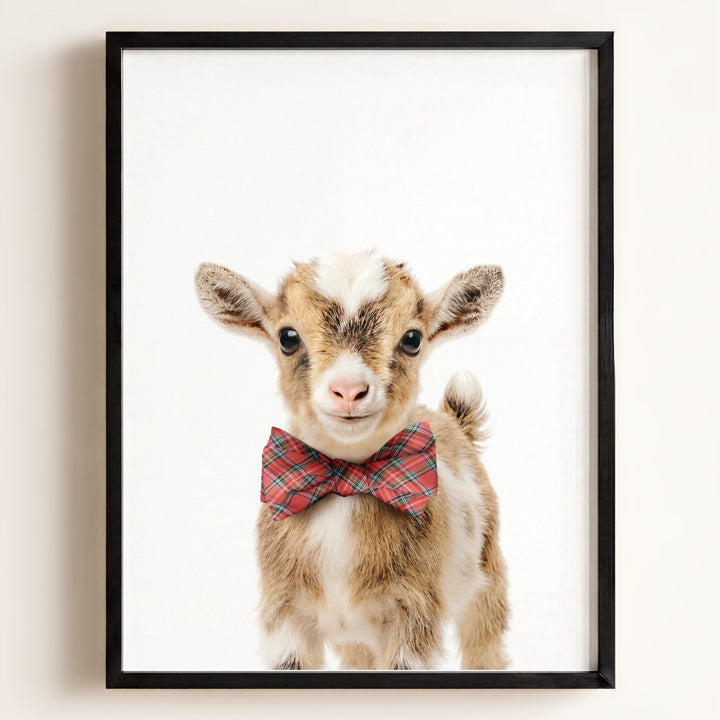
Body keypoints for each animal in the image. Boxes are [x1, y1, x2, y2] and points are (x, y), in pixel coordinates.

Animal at [195, 250, 509, 670]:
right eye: (288, 337)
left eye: (412, 339)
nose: (348, 390)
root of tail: (454, 420)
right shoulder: (285, 614)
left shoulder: (413, 613)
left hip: (488, 577)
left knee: (485, 644)